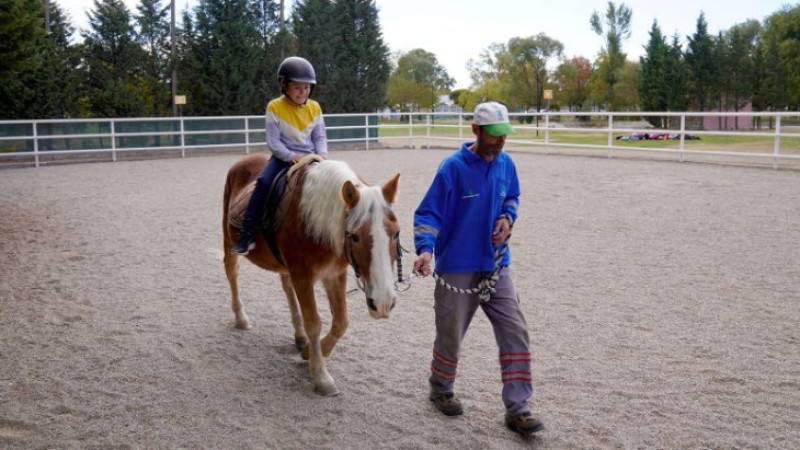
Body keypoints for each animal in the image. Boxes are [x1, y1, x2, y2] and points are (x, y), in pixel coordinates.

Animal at [222, 154, 400, 394]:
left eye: (396, 233)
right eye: (354, 236)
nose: (383, 302)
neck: (314, 220)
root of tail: (245, 159)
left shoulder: (334, 274)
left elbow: (341, 322)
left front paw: (312, 353)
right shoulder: (303, 276)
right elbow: (314, 322)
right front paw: (321, 376)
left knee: (286, 286)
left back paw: (299, 337)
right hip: (229, 241)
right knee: (232, 271)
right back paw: (241, 318)